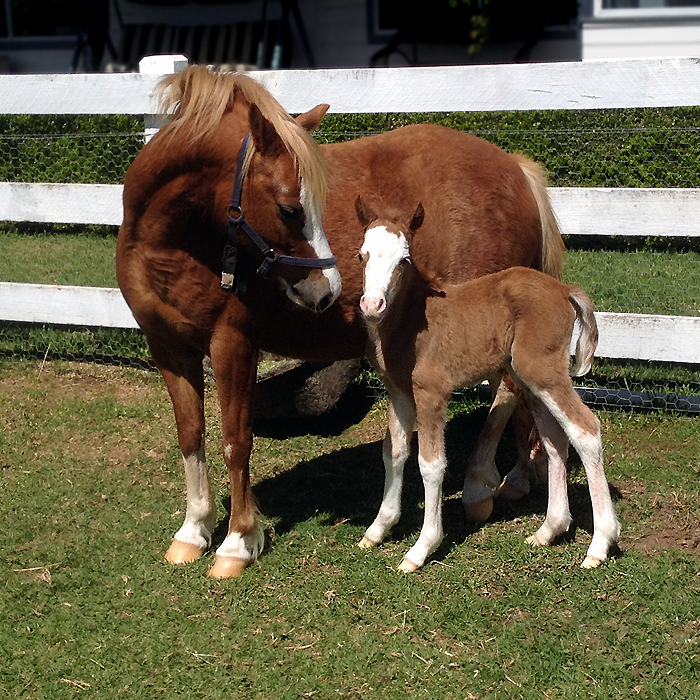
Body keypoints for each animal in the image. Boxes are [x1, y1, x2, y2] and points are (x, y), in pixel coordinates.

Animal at [116, 65, 565, 578]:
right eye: (290, 207)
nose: (326, 289)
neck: (177, 244)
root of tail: (514, 167)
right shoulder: (169, 348)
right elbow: (191, 435)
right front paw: (193, 532)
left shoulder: (233, 344)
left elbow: (236, 440)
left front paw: (237, 542)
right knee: (520, 398)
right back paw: (520, 476)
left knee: (506, 394)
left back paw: (476, 487)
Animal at [355, 196, 620, 571]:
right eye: (360, 255)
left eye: (404, 260)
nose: (372, 305)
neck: (413, 321)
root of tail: (563, 289)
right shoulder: (399, 392)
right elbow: (393, 453)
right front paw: (378, 529)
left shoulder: (432, 392)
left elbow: (431, 464)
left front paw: (421, 548)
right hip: (530, 378)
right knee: (555, 440)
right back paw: (549, 531)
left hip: (542, 370)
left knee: (585, 430)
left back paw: (599, 546)